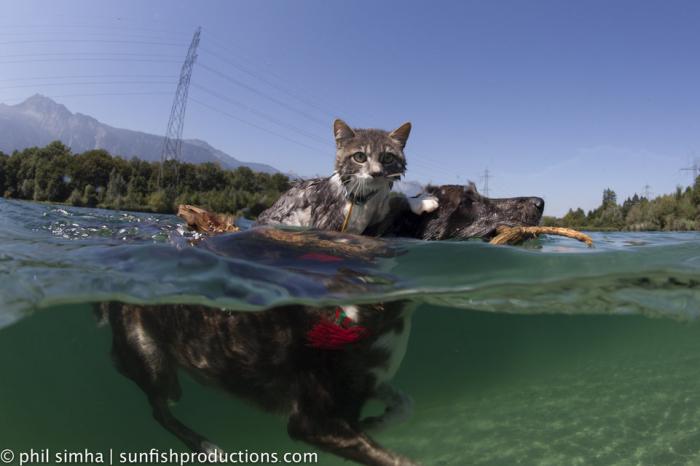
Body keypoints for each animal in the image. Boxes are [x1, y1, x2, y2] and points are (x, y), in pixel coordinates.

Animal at [254, 119, 434, 235]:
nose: (376, 173)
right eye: (360, 157)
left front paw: (422, 200)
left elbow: (395, 199)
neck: (362, 200)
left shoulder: (376, 218)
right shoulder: (327, 223)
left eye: (388, 158)